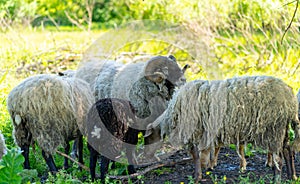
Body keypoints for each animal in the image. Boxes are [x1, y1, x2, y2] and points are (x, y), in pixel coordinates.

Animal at [145, 76, 300, 183]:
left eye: (148, 136)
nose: (145, 155)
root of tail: (290, 99)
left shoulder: (195, 131)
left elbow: (196, 154)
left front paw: (197, 176)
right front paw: (206, 168)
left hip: (274, 129)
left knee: (279, 158)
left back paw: (277, 179)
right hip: (282, 130)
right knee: (288, 151)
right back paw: (291, 176)